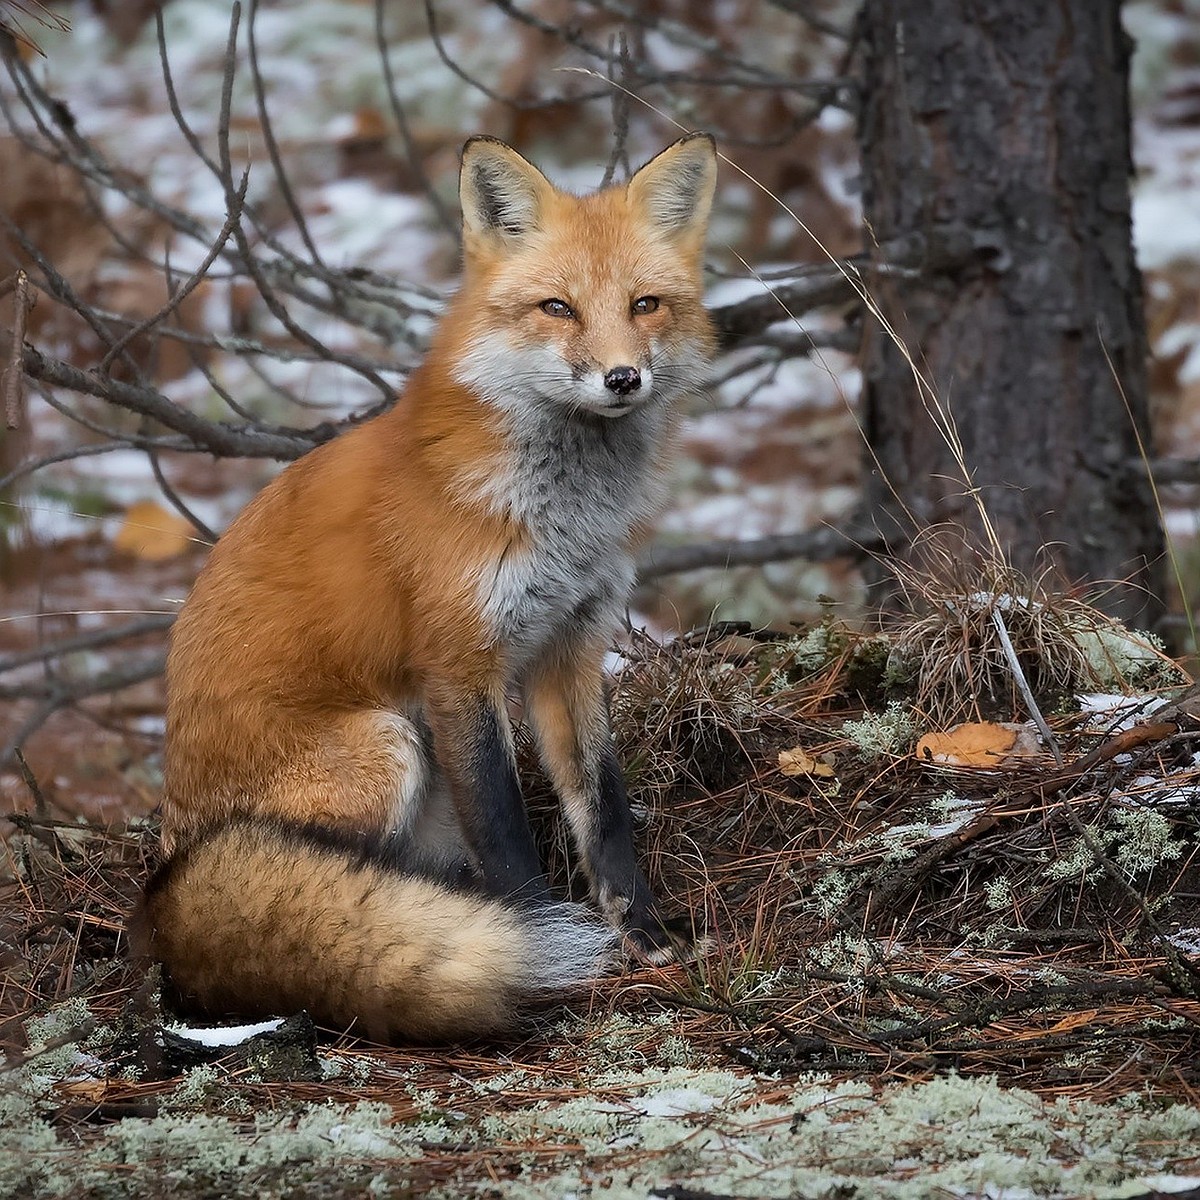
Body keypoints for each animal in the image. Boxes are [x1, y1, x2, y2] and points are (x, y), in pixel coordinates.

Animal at [133, 131, 710, 1041]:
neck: (557, 514)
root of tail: (165, 883)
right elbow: (504, 832)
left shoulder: (571, 646)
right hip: (388, 746)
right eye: (557, 308)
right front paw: (535, 941)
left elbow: (603, 806)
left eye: (645, 304)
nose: (623, 378)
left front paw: (641, 931)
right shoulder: (458, 664)